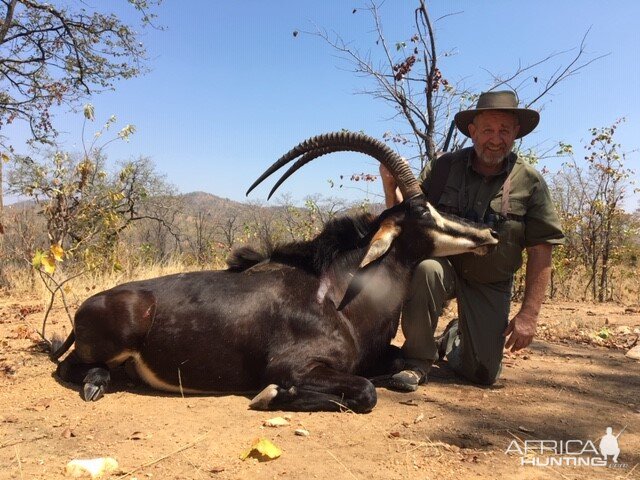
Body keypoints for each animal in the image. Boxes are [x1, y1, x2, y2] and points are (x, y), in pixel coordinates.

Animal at [51, 131, 500, 412]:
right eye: (424, 211)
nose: (488, 232)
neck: (337, 295)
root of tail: (90, 304)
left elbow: (392, 366)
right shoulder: (293, 367)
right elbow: (366, 391)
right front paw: (269, 396)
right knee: (68, 367)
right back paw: (95, 382)